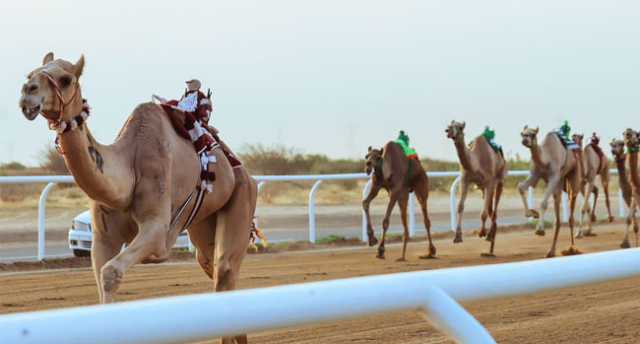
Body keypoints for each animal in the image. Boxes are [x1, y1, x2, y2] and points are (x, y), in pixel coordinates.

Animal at [19, 53, 255, 344]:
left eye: (66, 79)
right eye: (30, 74)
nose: (27, 93)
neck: (127, 170)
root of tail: (239, 168)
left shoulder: (157, 229)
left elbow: (111, 272)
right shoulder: (103, 237)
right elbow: (101, 279)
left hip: (243, 196)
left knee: (225, 271)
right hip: (204, 222)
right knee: (214, 268)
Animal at [364, 132, 436, 260]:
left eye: (377, 157)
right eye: (366, 156)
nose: (368, 165)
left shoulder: (394, 192)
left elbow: (385, 221)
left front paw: (380, 250)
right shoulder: (377, 186)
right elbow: (365, 203)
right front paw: (372, 239)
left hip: (421, 187)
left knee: (425, 218)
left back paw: (431, 251)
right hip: (404, 194)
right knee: (404, 220)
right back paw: (402, 255)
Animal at [444, 121, 504, 255]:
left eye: (460, 127)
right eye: (450, 125)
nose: (448, 131)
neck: (475, 163)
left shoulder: (489, 182)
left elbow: (483, 212)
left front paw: (482, 232)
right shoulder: (465, 180)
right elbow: (460, 206)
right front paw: (457, 237)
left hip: (499, 181)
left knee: (495, 209)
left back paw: (489, 236)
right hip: (483, 189)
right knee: (491, 210)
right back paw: (490, 248)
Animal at [516, 125, 584, 256]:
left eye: (533, 134)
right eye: (522, 133)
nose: (524, 141)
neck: (545, 159)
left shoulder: (554, 177)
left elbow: (543, 203)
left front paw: (540, 230)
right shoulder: (535, 175)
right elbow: (520, 187)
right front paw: (532, 213)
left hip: (573, 177)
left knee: (571, 213)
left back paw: (572, 249)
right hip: (559, 184)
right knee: (557, 218)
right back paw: (551, 251)